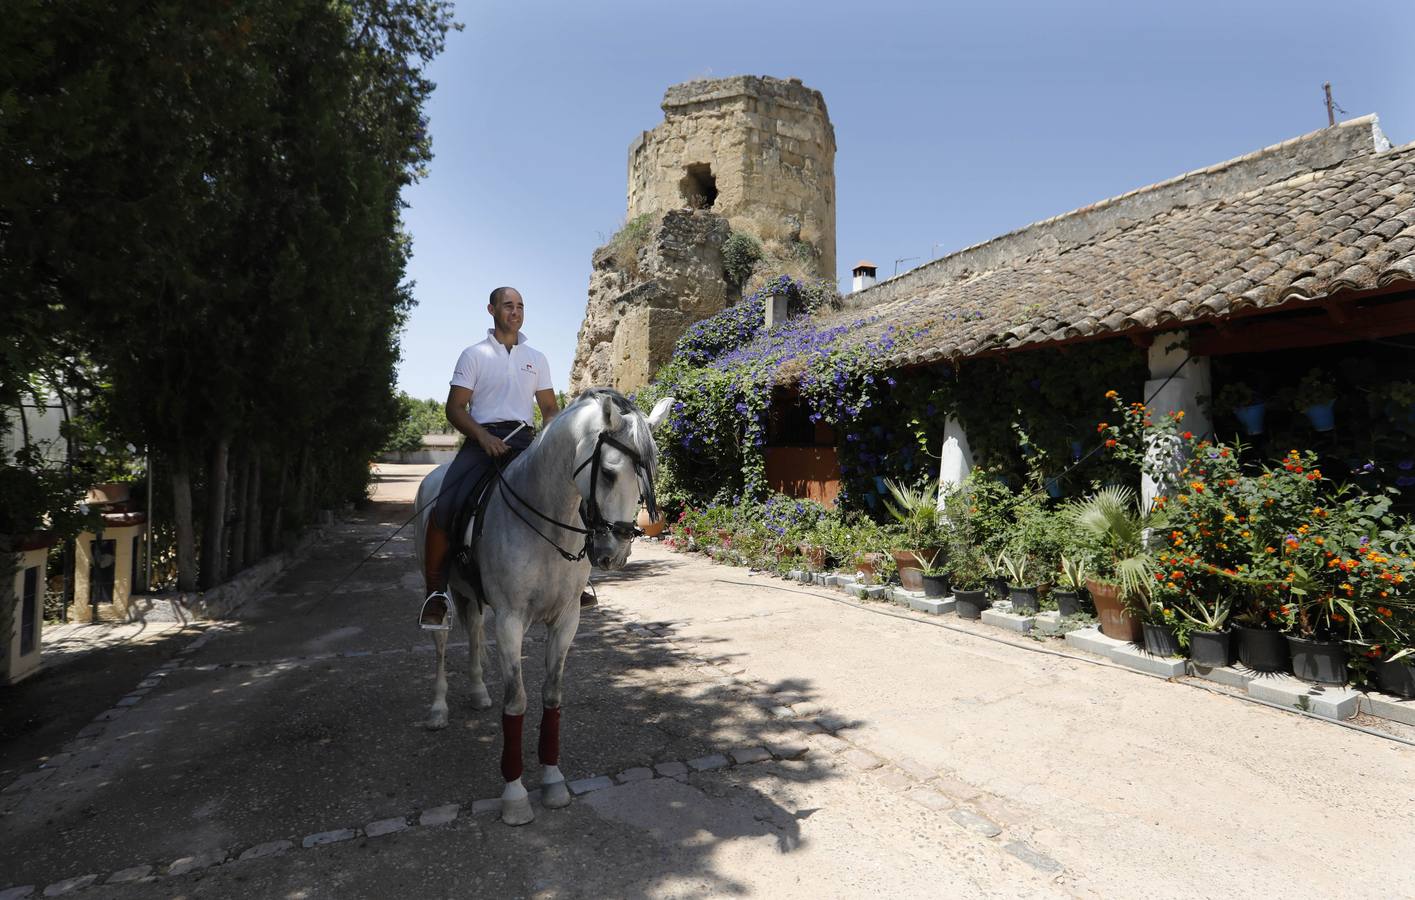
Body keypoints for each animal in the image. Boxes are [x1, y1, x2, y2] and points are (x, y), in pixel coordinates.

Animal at [413, 390, 670, 826]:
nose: (614, 554)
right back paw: (437, 710)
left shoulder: (566, 621)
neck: (549, 522)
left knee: (474, 632)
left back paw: (478, 692)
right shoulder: (511, 621)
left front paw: (552, 781)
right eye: (608, 473)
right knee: (443, 645)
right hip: (441, 591)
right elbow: (516, 700)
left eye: (646, 476)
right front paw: (515, 796)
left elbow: (552, 696)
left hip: (473, 597)